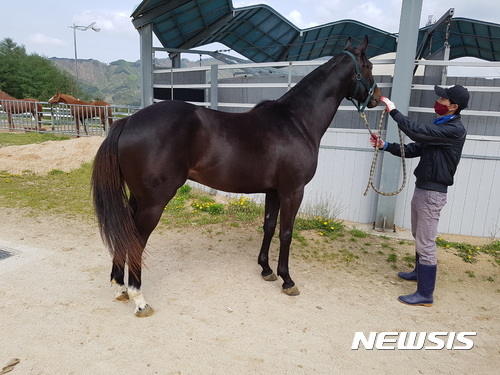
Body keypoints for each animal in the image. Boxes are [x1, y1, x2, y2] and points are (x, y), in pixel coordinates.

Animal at [92, 36, 380, 318]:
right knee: (137, 241)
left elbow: (269, 226)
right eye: (369, 67)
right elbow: (286, 232)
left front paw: (266, 269)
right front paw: (287, 280)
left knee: (125, 232)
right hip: (153, 203)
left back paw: (120, 286)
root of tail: (128, 121)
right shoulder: (293, 190)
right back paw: (139, 299)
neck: (296, 121)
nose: (377, 98)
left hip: (137, 199)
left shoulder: (273, 191)